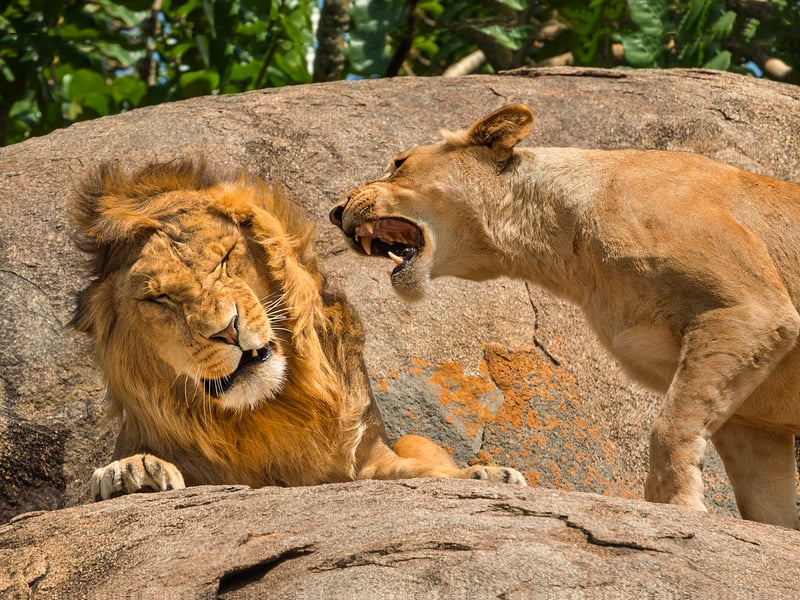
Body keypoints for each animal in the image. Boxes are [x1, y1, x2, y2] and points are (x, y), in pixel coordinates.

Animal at [71, 158, 526, 501]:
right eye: (159, 299)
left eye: (225, 258)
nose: (228, 330)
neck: (267, 410)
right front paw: (130, 472)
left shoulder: (366, 458)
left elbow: (415, 471)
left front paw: (486, 475)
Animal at [330, 104, 800, 529]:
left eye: (398, 163)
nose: (336, 211)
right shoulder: (751, 416)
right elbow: (767, 503)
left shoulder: (749, 309)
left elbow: (670, 426)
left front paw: (675, 506)